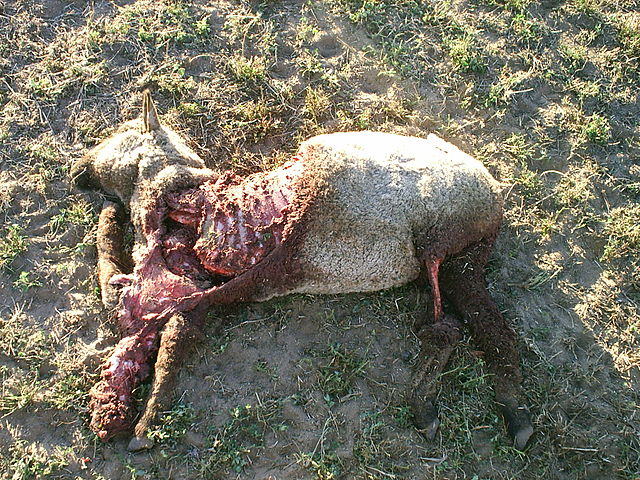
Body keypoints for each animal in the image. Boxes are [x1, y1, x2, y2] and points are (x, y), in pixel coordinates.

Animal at [71, 91, 533, 452]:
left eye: (122, 130)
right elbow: (163, 327)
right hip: (456, 264)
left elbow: (130, 295)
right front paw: (142, 419)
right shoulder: (192, 288)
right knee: (457, 328)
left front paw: (144, 425)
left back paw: (507, 416)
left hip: (446, 246)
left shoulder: (174, 276)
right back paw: (446, 409)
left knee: (464, 327)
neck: (190, 197)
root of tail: (495, 205)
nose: (77, 170)